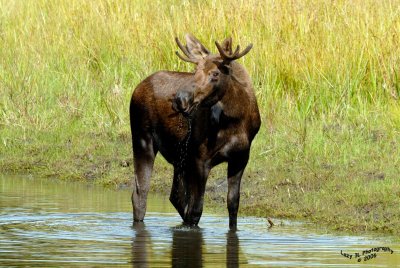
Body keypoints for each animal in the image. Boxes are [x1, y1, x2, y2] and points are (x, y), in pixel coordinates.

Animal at [130, 34, 260, 229]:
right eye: (195, 70)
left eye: (215, 73)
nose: (180, 99)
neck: (235, 120)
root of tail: (137, 88)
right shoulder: (200, 159)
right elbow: (196, 209)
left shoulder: (240, 157)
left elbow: (233, 205)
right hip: (142, 139)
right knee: (141, 194)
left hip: (179, 158)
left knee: (174, 196)